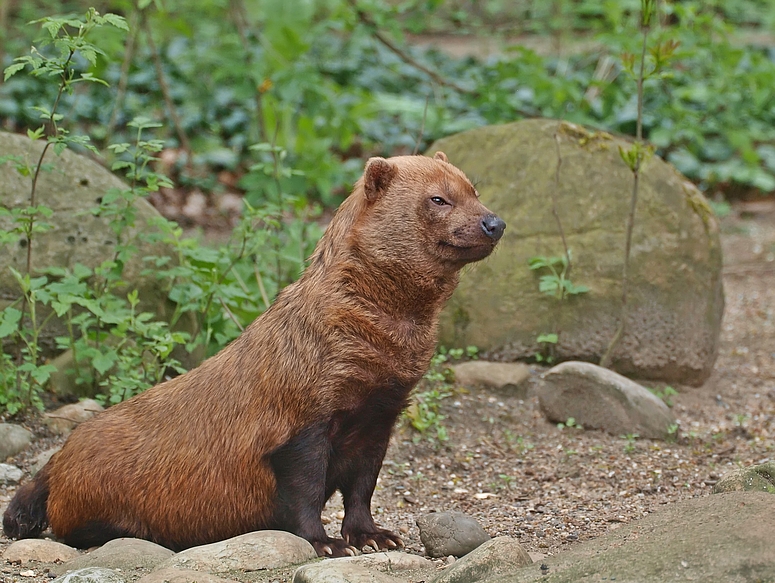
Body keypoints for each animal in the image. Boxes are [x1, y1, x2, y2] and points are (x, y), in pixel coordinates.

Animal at [3, 153, 506, 560]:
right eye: (438, 198)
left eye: (475, 190)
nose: (495, 223)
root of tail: (60, 457)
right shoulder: (302, 423)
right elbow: (304, 494)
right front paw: (326, 544)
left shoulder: (379, 417)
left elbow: (362, 488)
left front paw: (374, 537)